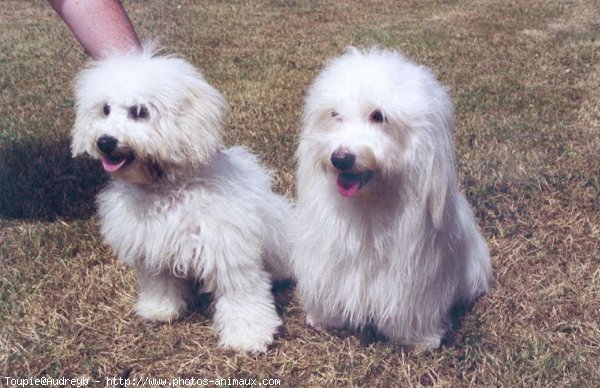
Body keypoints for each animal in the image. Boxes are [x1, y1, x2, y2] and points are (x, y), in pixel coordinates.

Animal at [71, 44, 292, 352]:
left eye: (139, 112)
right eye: (105, 109)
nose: (105, 141)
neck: (166, 188)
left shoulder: (228, 250)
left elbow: (241, 294)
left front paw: (248, 336)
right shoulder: (152, 248)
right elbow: (159, 282)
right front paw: (159, 310)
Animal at [290, 47, 492, 350]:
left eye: (379, 116)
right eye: (335, 115)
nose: (340, 158)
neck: (369, 202)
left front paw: (420, 339)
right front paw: (326, 318)